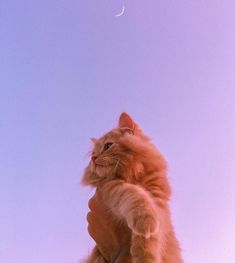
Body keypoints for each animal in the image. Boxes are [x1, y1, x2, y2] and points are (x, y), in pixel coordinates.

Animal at [81, 112, 183, 262]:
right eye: (92, 154)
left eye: (107, 146)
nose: (93, 158)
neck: (133, 172)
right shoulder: (110, 187)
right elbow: (136, 195)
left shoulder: (157, 198)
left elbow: (149, 238)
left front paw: (145, 254)